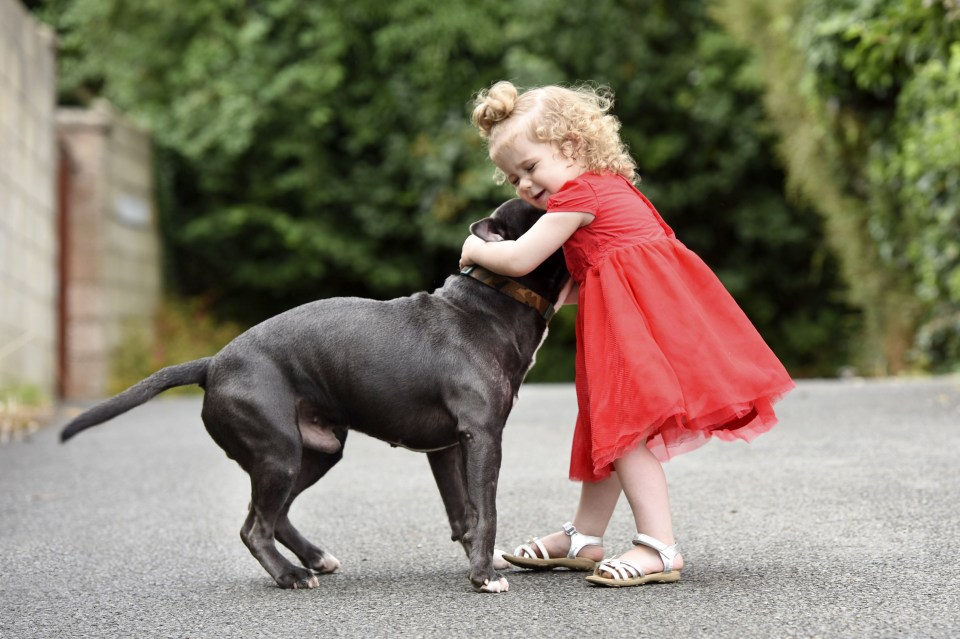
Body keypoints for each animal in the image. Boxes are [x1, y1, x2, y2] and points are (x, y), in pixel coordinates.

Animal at [60, 200, 568, 596]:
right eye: (547, 207)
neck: (492, 302)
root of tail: (212, 363)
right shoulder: (483, 437)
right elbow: (487, 509)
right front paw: (484, 577)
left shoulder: (445, 448)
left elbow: (464, 512)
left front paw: (480, 564)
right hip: (279, 452)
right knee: (255, 527)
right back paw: (291, 576)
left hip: (315, 451)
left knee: (273, 515)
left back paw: (314, 559)